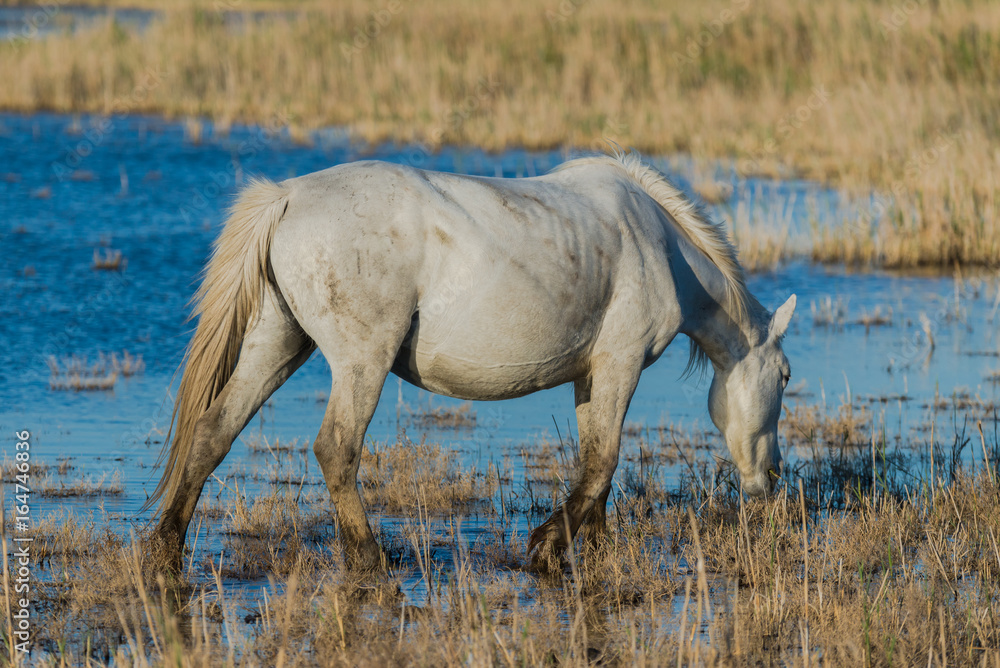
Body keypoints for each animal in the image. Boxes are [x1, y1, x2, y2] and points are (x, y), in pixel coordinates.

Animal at [146, 149, 795, 571]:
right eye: (786, 377)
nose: (773, 478)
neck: (656, 241)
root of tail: (288, 197)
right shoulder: (620, 363)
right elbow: (603, 461)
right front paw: (547, 546)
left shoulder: (591, 375)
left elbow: (597, 465)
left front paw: (593, 545)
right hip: (360, 361)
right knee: (336, 449)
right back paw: (370, 556)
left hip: (278, 341)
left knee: (213, 431)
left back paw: (166, 547)